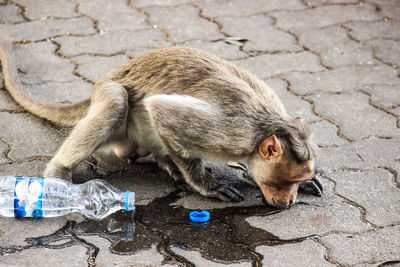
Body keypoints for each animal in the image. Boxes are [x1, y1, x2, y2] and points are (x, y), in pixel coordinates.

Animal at [0, 36, 320, 207]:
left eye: (297, 181)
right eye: (289, 181)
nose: (289, 201)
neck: (266, 124)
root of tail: (105, 78)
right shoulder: (229, 134)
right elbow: (162, 110)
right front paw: (206, 185)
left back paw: (167, 163)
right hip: (110, 100)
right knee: (116, 101)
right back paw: (58, 174)